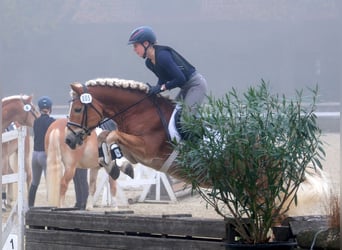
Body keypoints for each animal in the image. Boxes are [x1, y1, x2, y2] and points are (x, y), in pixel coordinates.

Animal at [65, 79, 332, 215]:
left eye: (77, 108)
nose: (69, 140)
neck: (139, 111)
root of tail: (275, 151)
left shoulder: (146, 149)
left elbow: (112, 136)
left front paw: (117, 166)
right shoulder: (137, 152)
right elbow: (106, 138)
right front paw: (117, 166)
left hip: (261, 188)